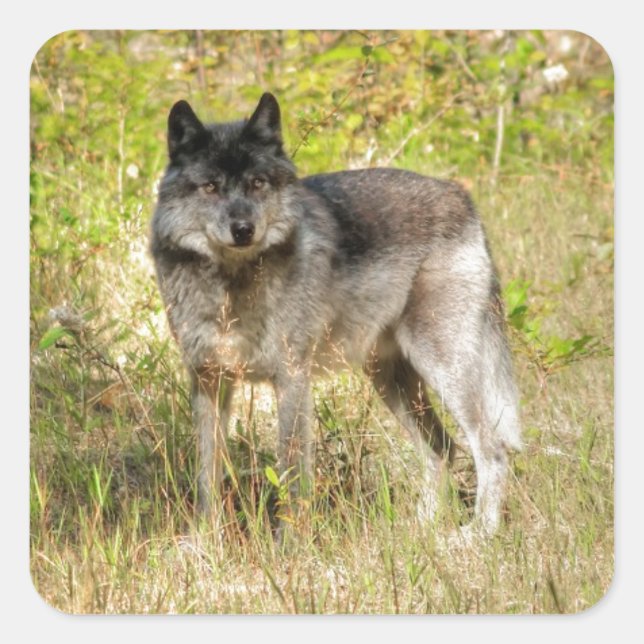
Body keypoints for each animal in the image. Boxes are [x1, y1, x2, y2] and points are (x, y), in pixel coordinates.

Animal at [150, 92, 521, 536]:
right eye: (211, 187)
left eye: (257, 183)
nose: (243, 229)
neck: (230, 286)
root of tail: (461, 196)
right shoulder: (209, 381)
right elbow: (208, 474)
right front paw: (205, 541)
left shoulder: (292, 380)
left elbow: (293, 478)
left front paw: (290, 544)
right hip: (390, 381)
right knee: (442, 450)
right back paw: (420, 532)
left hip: (441, 369)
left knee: (491, 449)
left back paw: (476, 536)